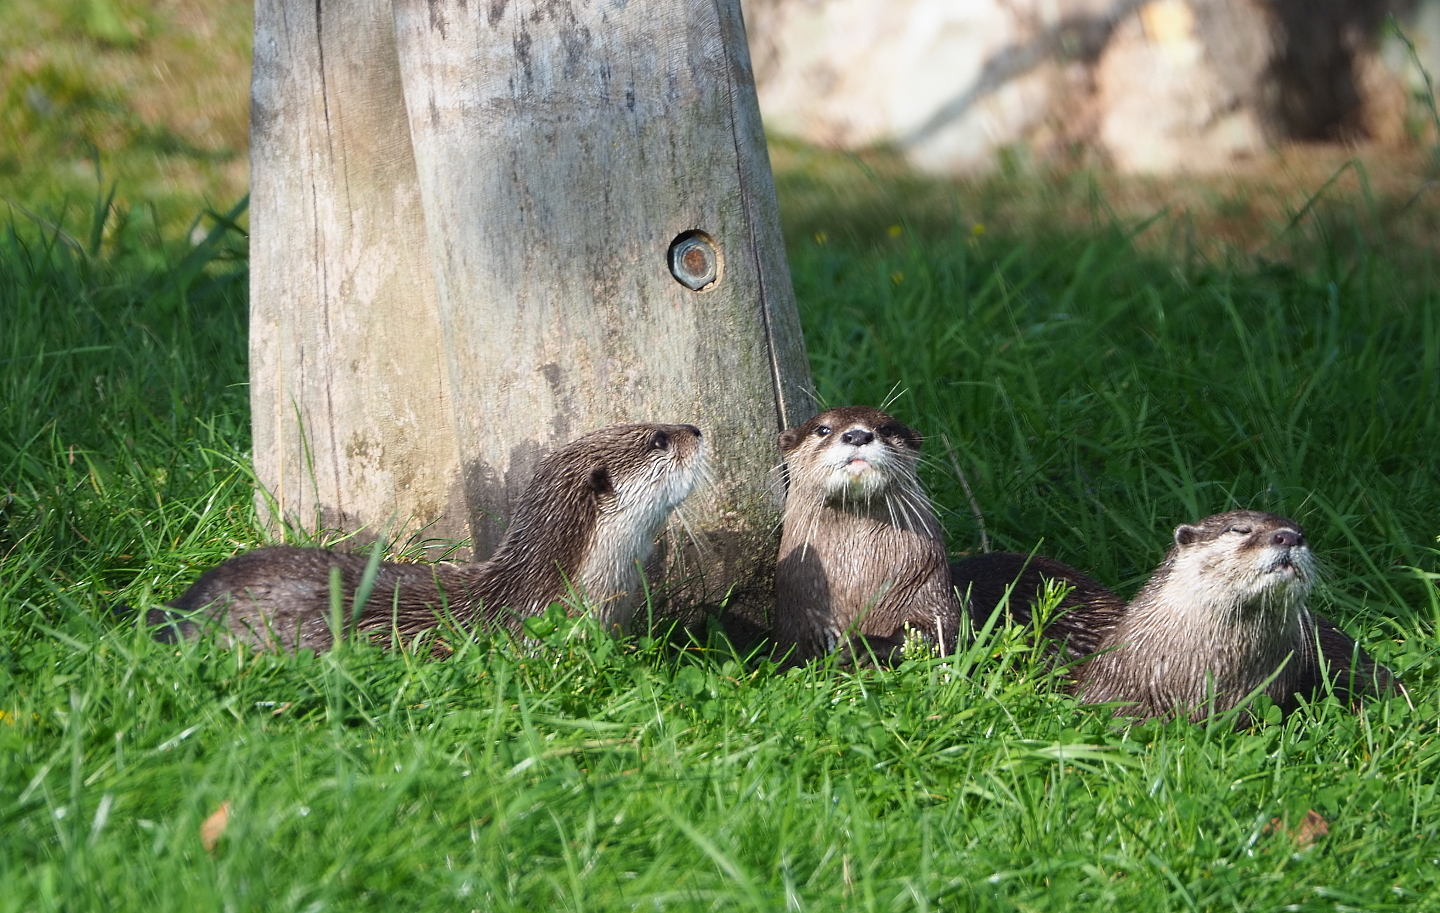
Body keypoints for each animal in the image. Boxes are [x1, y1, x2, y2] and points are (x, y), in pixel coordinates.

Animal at [773, 406, 961, 665]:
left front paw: (861, 646)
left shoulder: (931, 590)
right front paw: (816, 641)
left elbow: (938, 634)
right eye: (823, 429)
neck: (853, 578)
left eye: (886, 428)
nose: (857, 435)